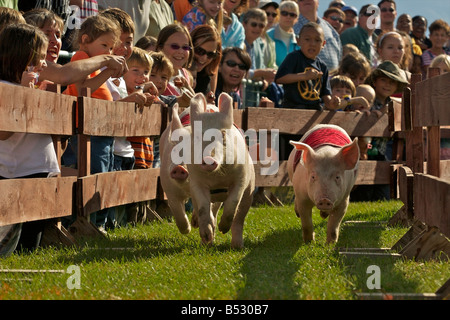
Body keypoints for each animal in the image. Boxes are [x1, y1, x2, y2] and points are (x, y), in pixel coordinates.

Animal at [188, 92, 255, 248]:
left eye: (223, 134)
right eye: (197, 136)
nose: (208, 158)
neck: (216, 178)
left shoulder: (241, 178)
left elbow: (233, 203)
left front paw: (223, 229)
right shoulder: (195, 182)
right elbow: (203, 208)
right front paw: (207, 235)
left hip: (249, 193)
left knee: (239, 219)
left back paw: (237, 246)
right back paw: (206, 241)